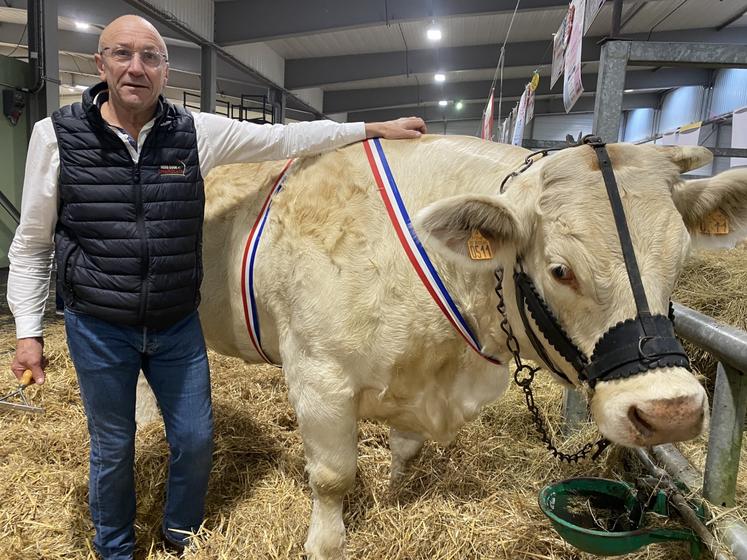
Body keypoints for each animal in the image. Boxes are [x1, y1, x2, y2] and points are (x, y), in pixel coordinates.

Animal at [194, 137, 747, 560]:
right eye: (560, 270)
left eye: (680, 259)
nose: (670, 410)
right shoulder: (318, 374)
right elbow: (333, 477)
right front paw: (326, 546)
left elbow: (406, 452)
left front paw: (394, 496)